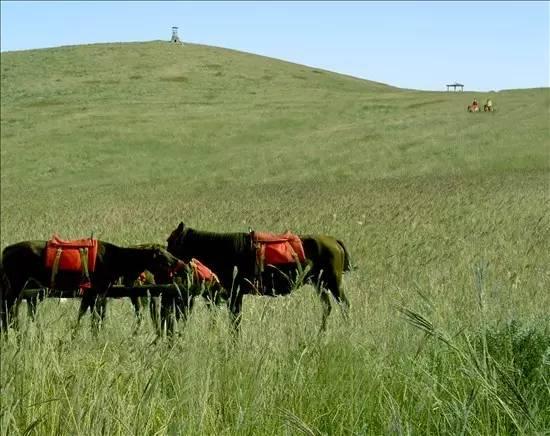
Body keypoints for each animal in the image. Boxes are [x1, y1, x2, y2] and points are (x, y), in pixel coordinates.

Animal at [0, 240, 185, 332]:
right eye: (161, 254)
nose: (180, 263)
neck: (116, 258)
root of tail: (5, 250)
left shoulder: (91, 292)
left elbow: (85, 315)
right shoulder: (99, 291)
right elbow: (95, 318)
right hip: (16, 286)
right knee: (8, 312)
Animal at [166, 223, 354, 332]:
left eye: (171, 242)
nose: (164, 257)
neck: (221, 250)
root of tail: (334, 241)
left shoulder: (235, 295)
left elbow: (235, 323)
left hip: (333, 282)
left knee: (345, 305)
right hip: (319, 284)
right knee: (327, 306)